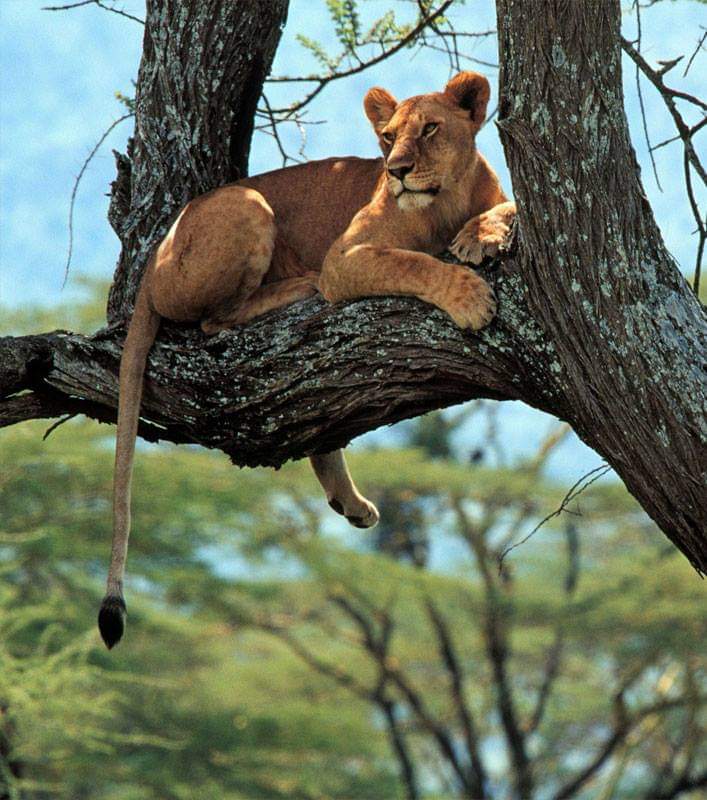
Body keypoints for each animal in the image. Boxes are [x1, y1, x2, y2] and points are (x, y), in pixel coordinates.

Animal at [99, 71, 516, 648]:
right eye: (388, 137)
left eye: (431, 129)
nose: (397, 173)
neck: (445, 201)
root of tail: (156, 253)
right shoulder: (346, 258)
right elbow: (415, 263)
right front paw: (469, 296)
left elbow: (506, 208)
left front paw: (483, 235)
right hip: (249, 204)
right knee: (215, 321)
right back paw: (299, 285)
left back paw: (351, 504)